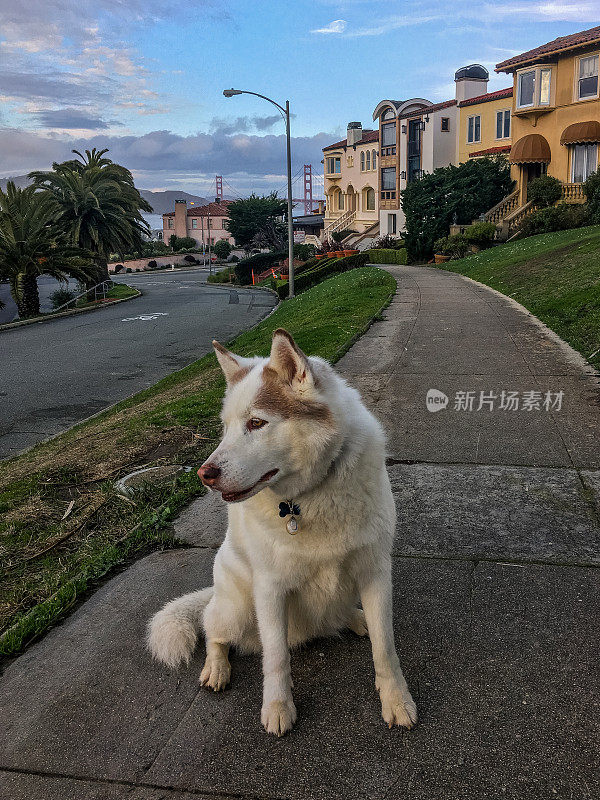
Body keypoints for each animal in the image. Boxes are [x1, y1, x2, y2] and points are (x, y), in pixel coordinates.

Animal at [148, 326, 414, 736]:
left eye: (256, 423)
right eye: (224, 428)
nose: (204, 475)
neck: (310, 495)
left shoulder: (375, 572)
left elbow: (385, 648)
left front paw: (396, 699)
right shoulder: (271, 589)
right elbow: (276, 657)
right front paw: (277, 707)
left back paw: (355, 618)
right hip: (237, 608)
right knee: (213, 631)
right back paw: (216, 668)